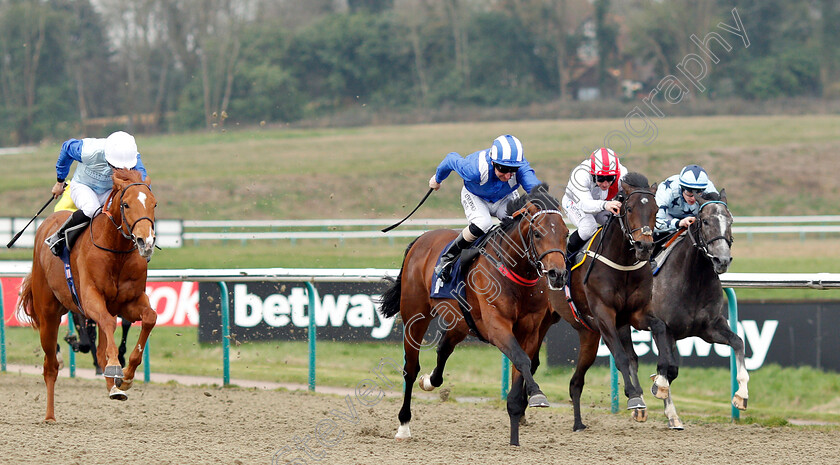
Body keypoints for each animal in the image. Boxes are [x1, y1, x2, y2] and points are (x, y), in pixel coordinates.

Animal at [17, 169, 159, 422]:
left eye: (154, 204)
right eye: (126, 204)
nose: (146, 241)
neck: (116, 251)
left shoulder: (130, 302)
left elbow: (149, 318)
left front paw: (126, 376)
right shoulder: (91, 299)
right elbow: (107, 323)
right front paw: (115, 367)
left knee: (99, 348)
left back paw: (112, 386)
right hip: (48, 315)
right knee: (50, 365)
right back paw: (50, 415)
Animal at [380, 183, 572, 444]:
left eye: (566, 233)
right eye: (538, 233)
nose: (557, 274)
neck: (513, 270)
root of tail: (421, 239)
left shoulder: (531, 329)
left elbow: (523, 365)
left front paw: (518, 416)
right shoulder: (497, 326)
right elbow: (521, 359)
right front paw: (537, 394)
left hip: (460, 322)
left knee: (443, 350)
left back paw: (429, 381)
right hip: (414, 315)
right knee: (410, 369)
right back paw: (404, 425)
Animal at [548, 173, 680, 432]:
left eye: (656, 209)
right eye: (628, 208)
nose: (644, 246)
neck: (622, 263)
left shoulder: (635, 314)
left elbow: (659, 328)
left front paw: (662, 378)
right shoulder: (603, 314)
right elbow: (620, 356)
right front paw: (634, 396)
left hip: (589, 334)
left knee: (577, 382)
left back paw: (578, 423)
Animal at [648, 189, 740, 428]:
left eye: (730, 221)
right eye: (705, 221)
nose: (722, 260)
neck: (693, 279)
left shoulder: (710, 328)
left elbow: (738, 342)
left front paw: (741, 396)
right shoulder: (664, 328)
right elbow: (669, 367)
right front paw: (666, 402)